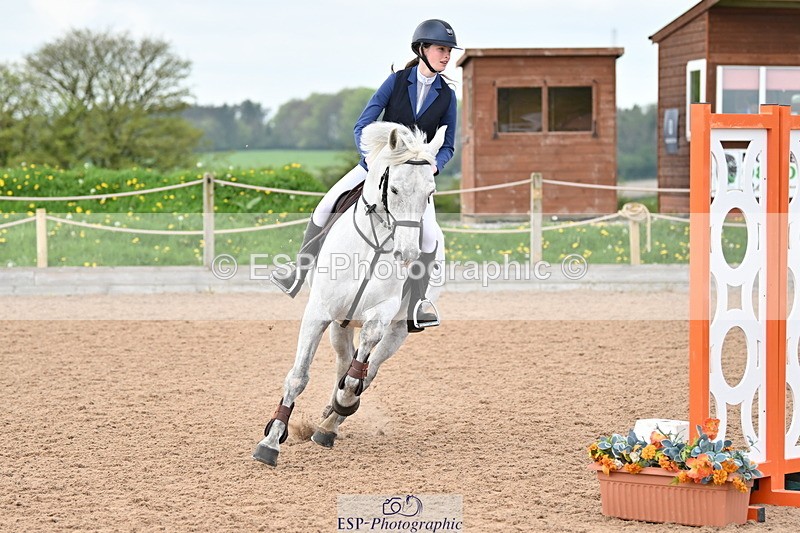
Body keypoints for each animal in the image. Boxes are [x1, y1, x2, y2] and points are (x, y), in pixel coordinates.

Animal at [253, 122, 447, 467]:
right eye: (394, 190)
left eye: (430, 194)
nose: (408, 254)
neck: (376, 242)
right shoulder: (319, 312)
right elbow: (298, 376)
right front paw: (271, 441)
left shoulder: (382, 314)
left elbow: (361, 367)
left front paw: (343, 402)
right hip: (339, 324)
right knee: (344, 360)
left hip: (398, 330)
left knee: (367, 370)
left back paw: (331, 422)